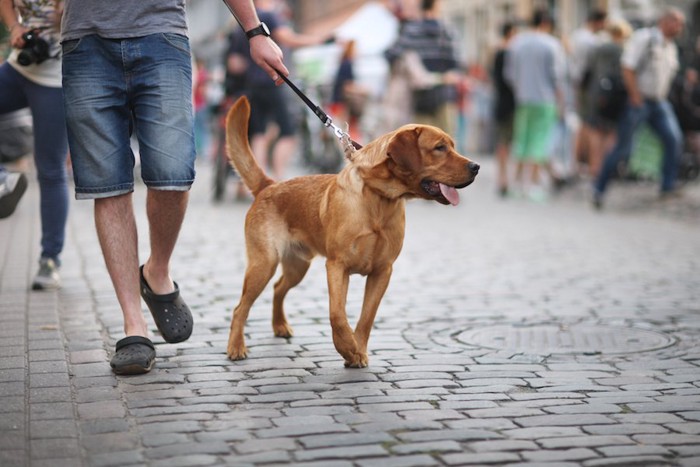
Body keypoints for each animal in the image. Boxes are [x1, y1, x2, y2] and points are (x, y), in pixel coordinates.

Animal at [227, 97, 478, 368]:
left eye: (452, 146)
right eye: (440, 148)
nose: (476, 166)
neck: (379, 200)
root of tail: (268, 185)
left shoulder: (382, 271)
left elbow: (367, 317)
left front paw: (358, 350)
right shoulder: (337, 266)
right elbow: (337, 315)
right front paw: (347, 348)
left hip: (297, 266)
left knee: (278, 288)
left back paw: (280, 326)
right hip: (264, 263)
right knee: (240, 307)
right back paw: (236, 346)